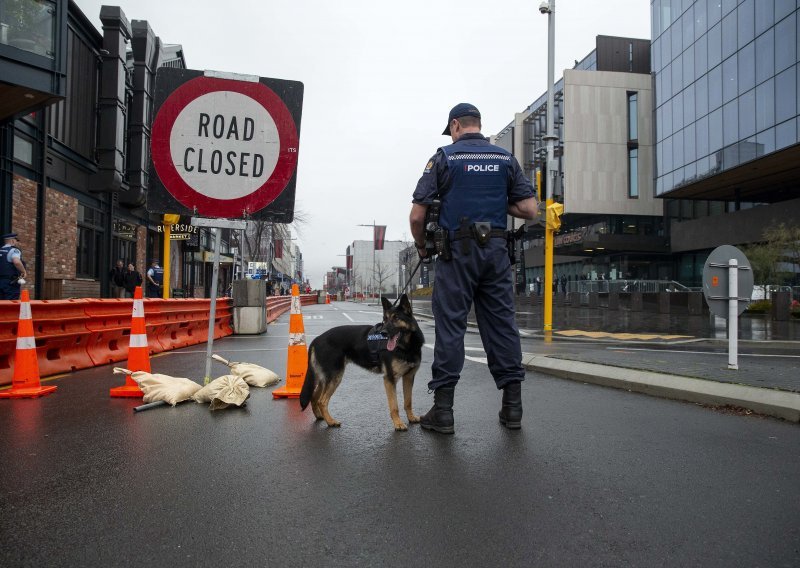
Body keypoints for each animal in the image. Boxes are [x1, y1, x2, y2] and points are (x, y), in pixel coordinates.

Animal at [300, 298, 424, 430]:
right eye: (385, 319)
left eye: (396, 318)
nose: (383, 333)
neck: (407, 347)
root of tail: (317, 338)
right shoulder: (390, 379)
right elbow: (394, 405)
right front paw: (398, 423)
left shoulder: (409, 377)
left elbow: (408, 401)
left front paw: (411, 417)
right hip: (335, 377)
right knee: (322, 401)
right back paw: (331, 421)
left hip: (325, 379)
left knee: (314, 396)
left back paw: (320, 416)